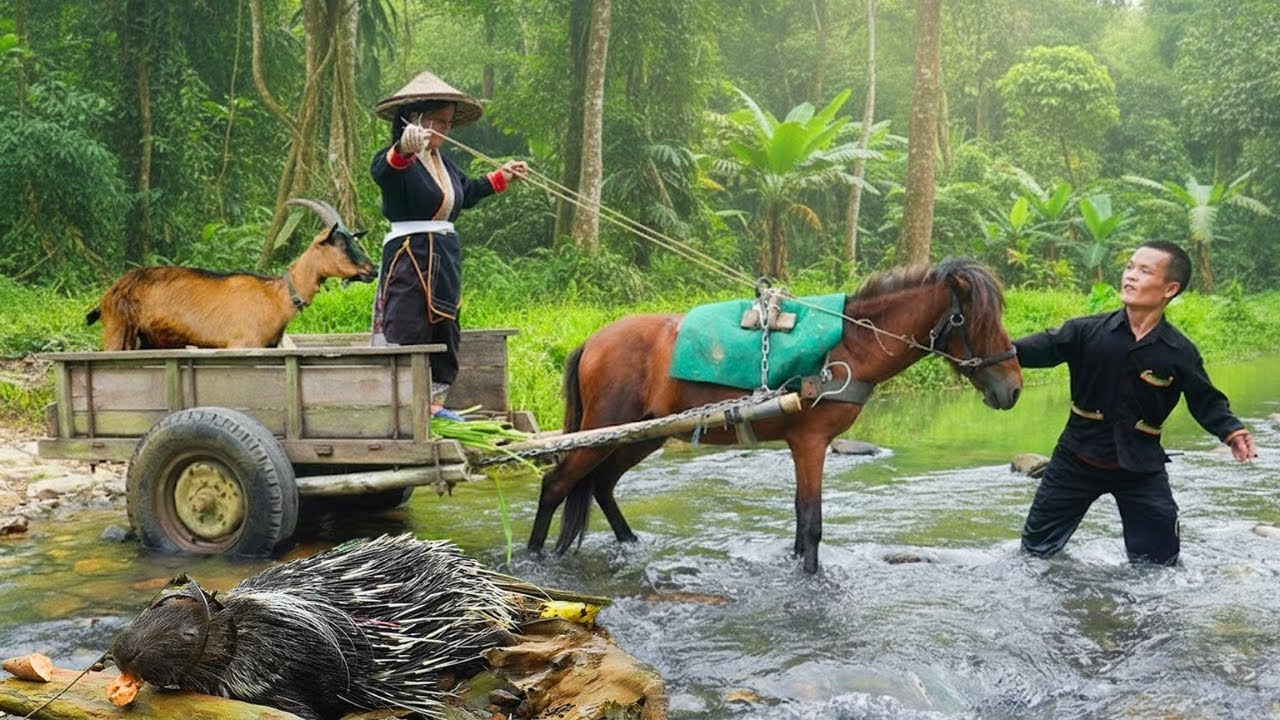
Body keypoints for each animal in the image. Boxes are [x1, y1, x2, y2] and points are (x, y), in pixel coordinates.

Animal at [87, 199, 376, 350]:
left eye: (354, 240)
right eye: (340, 244)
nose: (371, 270)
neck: (276, 295)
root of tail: (110, 293)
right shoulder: (241, 345)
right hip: (117, 331)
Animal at [528, 257, 1023, 573]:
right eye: (975, 322)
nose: (1013, 388)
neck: (848, 346)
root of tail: (593, 341)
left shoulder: (801, 444)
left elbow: (801, 520)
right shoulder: (811, 441)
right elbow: (813, 523)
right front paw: (809, 576)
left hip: (641, 434)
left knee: (601, 485)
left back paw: (629, 543)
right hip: (604, 429)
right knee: (556, 484)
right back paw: (532, 558)